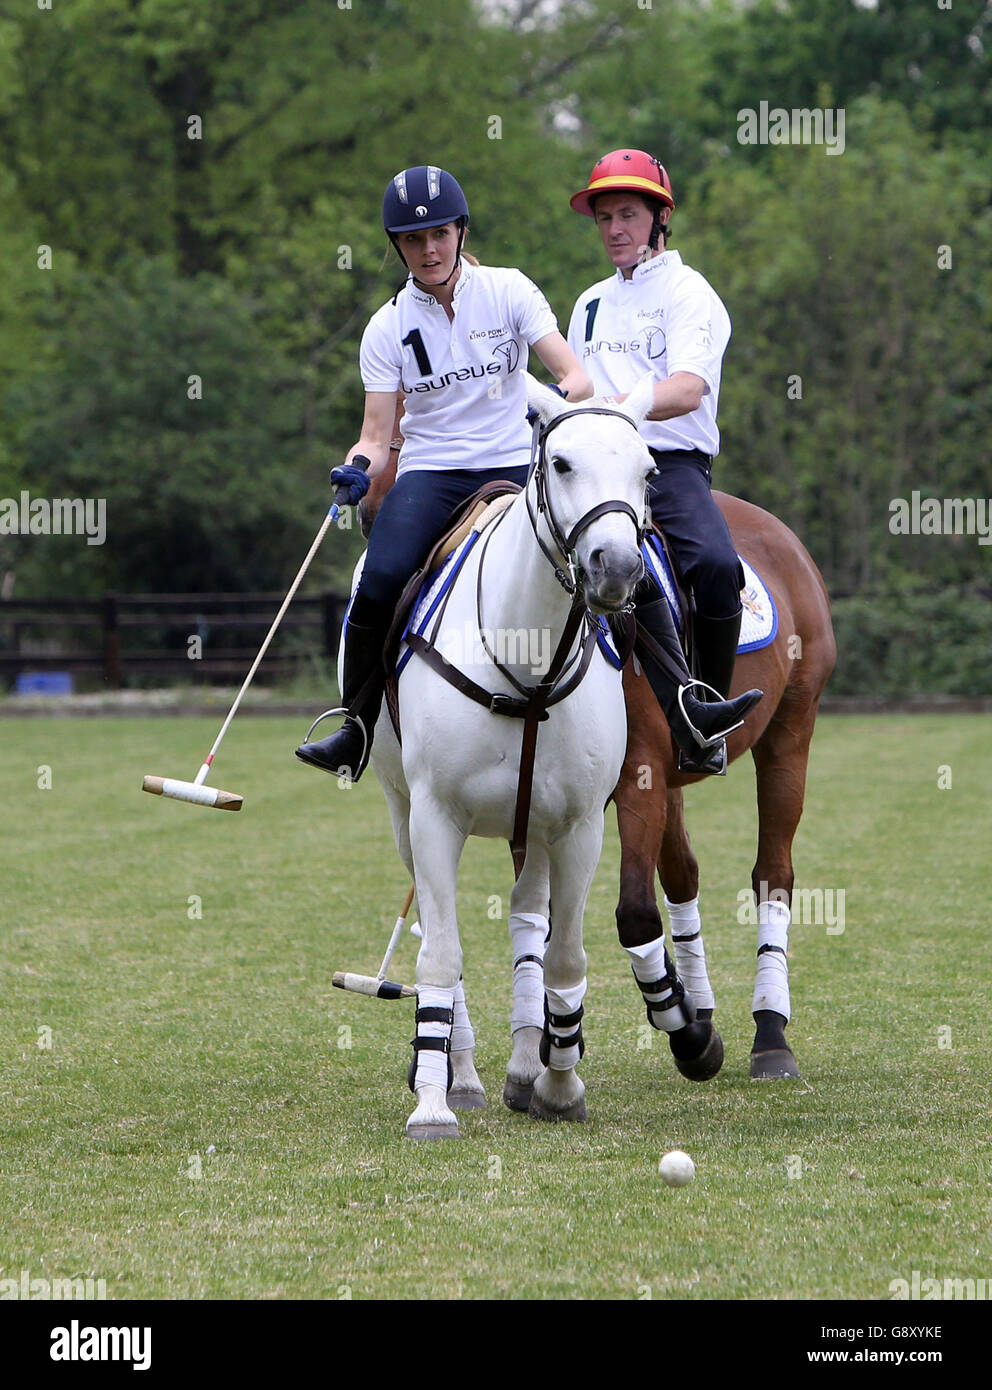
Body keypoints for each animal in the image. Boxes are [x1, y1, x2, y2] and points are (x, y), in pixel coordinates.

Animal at [364, 375, 655, 1134]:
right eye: (561, 463)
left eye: (649, 472)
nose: (616, 568)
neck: (528, 664)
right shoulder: (434, 816)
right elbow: (440, 955)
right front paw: (434, 1105)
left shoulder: (579, 827)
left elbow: (563, 958)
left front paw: (559, 1084)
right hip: (402, 814)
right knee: (439, 933)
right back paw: (459, 1074)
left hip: (536, 830)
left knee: (529, 920)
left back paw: (527, 1067)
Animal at [616, 494, 833, 1078]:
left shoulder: (636, 773)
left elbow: (634, 911)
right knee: (682, 874)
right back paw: (697, 1008)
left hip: (791, 729)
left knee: (773, 874)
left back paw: (770, 1034)